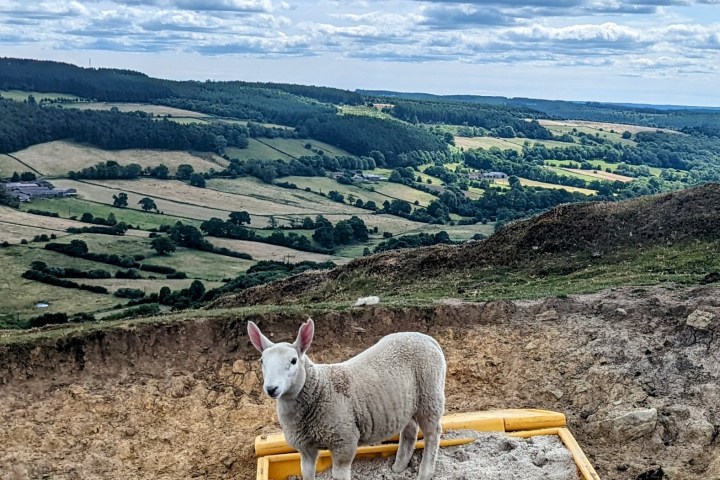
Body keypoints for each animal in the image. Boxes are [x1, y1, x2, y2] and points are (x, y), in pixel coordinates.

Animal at [247, 318, 446, 480]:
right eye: (261, 362)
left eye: (294, 360)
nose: (271, 389)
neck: (319, 388)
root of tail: (426, 338)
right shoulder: (304, 447)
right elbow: (306, 472)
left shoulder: (344, 440)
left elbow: (339, 474)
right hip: (407, 402)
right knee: (409, 430)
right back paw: (398, 467)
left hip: (430, 395)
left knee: (432, 434)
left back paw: (425, 473)